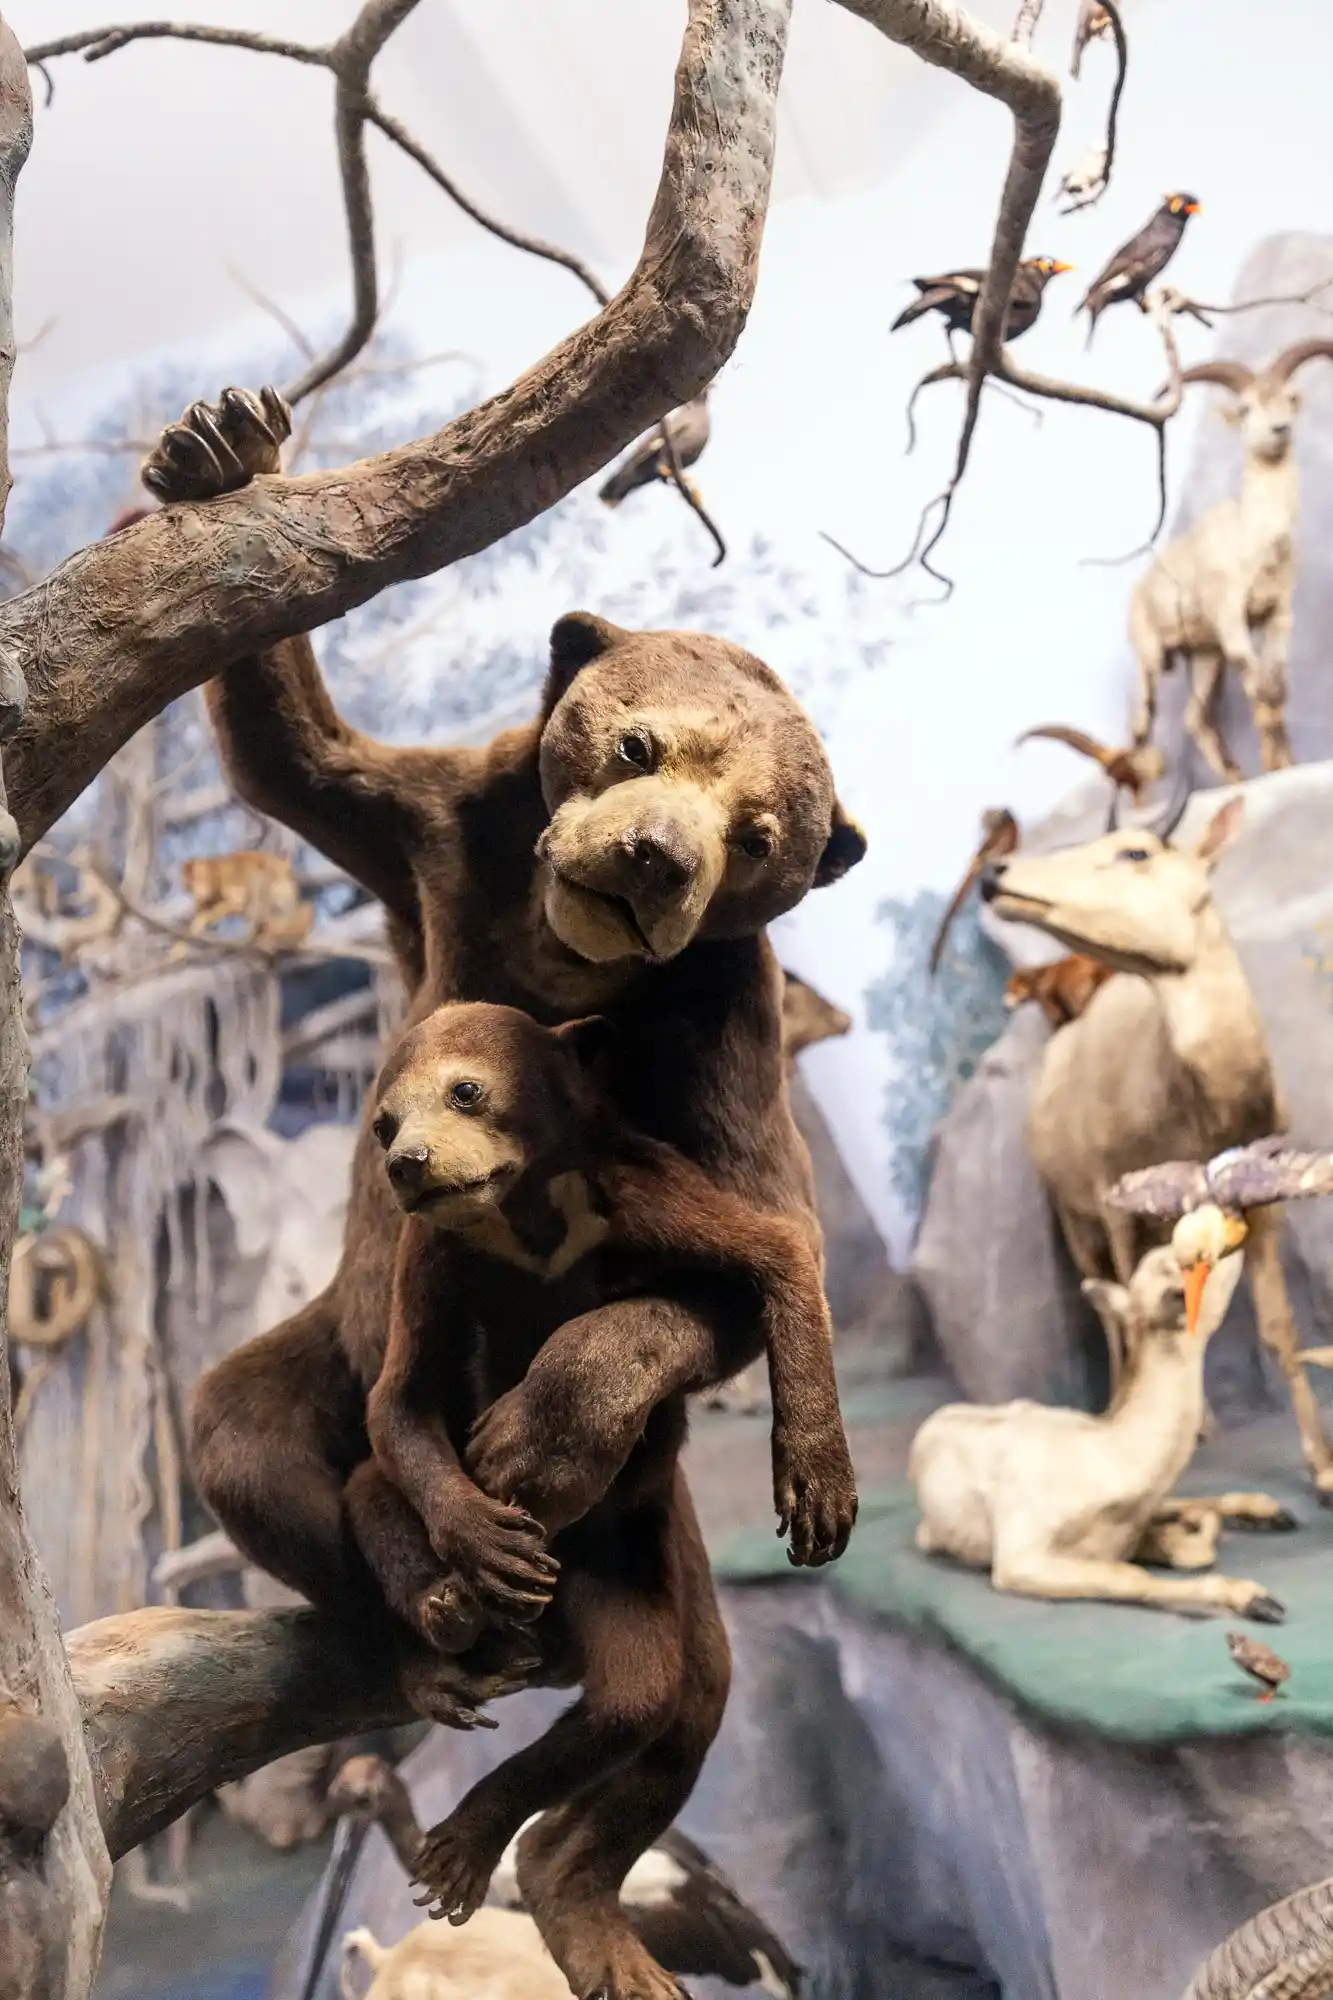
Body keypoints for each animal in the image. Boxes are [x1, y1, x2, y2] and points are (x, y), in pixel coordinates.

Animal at [351, 999, 856, 1960]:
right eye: (383, 1123)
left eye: (465, 1090)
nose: (409, 1163)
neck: (528, 1225)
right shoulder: (429, 1255)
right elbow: (397, 1401)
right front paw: (481, 1544)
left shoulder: (640, 1192)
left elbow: (778, 1255)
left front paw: (818, 1495)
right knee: (366, 1491)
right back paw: (451, 1605)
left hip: (628, 1560)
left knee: (637, 1694)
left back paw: (464, 1852)